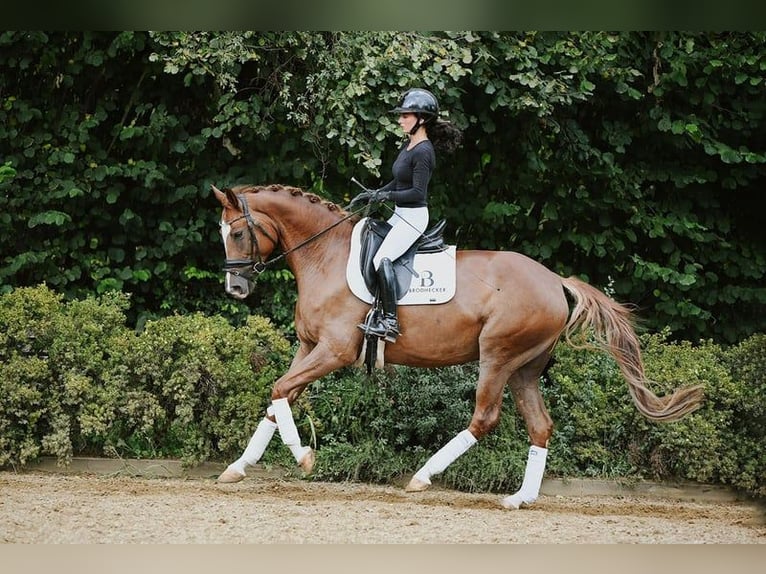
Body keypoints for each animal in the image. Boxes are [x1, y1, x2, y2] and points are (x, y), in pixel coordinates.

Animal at [212, 183, 704, 509]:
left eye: (236, 233)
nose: (235, 288)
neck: (325, 256)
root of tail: (554, 280)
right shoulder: (308, 347)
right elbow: (279, 399)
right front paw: (237, 468)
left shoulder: (334, 350)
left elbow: (279, 390)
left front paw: (305, 458)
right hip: (524, 369)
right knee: (540, 425)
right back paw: (520, 498)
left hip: (498, 356)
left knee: (484, 418)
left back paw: (422, 477)